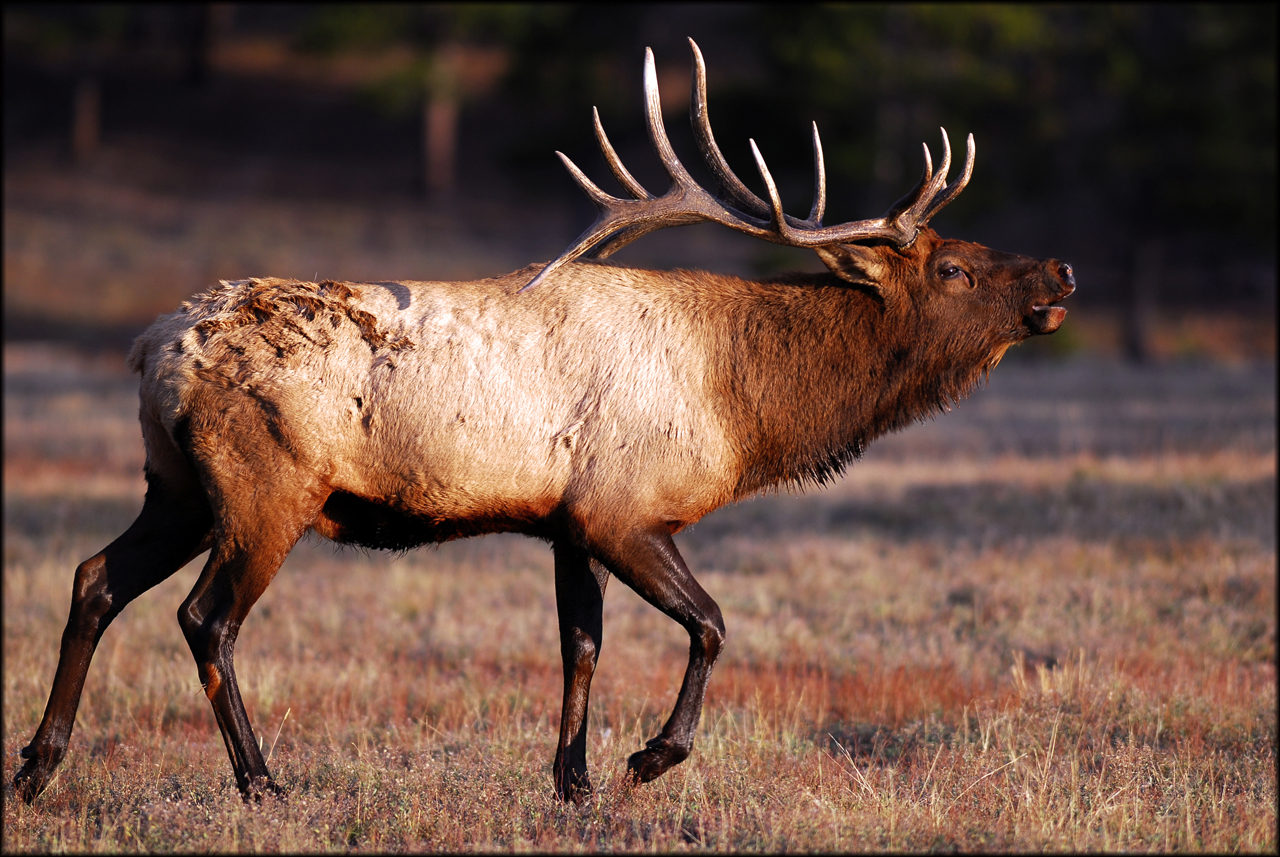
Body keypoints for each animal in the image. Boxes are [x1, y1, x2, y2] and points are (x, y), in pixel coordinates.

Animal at [12, 40, 1070, 808]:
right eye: (954, 268)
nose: (1059, 271)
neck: (745, 406)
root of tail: (153, 348)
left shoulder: (569, 521)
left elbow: (582, 646)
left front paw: (574, 783)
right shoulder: (623, 508)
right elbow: (713, 623)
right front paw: (648, 758)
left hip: (176, 484)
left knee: (95, 577)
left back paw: (35, 766)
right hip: (265, 487)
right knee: (206, 617)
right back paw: (261, 782)